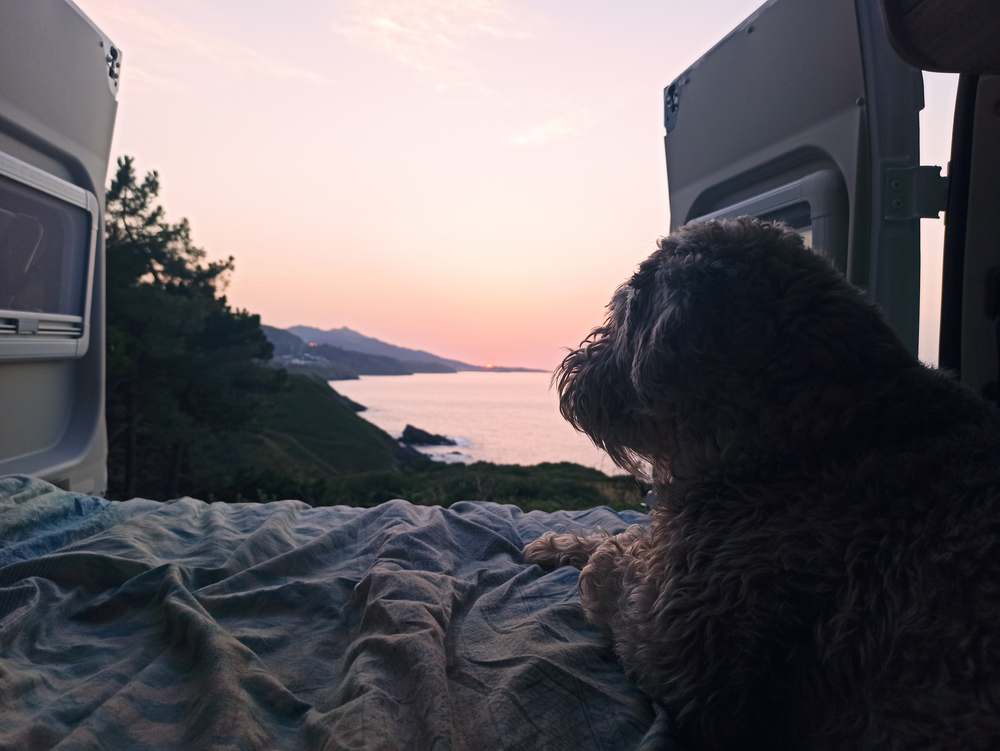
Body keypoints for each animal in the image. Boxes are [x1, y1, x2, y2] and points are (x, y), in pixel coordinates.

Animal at [520, 214, 1000, 748]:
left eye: (623, 314)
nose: (573, 367)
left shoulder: (677, 650)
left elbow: (618, 563)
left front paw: (598, 556)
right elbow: (629, 530)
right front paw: (561, 544)